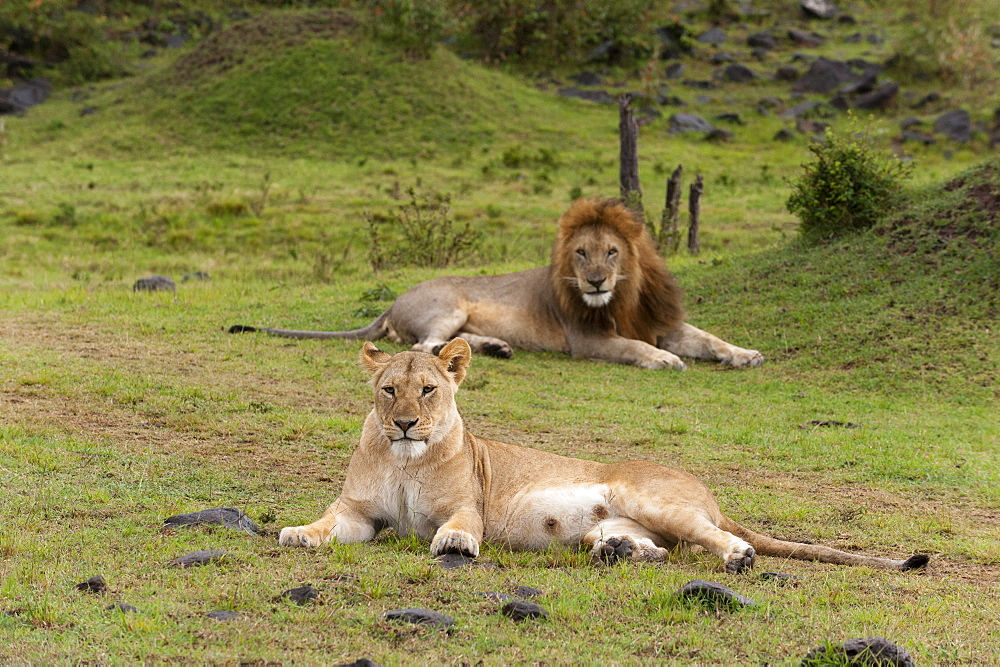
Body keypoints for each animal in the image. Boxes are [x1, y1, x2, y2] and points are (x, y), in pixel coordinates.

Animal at [232, 198, 764, 370]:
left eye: (612, 251)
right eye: (580, 252)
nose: (594, 282)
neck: (623, 295)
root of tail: (393, 302)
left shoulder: (661, 321)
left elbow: (708, 338)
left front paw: (745, 354)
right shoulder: (587, 339)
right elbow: (635, 348)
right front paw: (664, 360)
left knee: (450, 345)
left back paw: (498, 348)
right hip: (447, 305)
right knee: (425, 347)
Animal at [276, 340, 928, 576]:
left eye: (429, 390)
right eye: (390, 390)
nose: (407, 422)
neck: (405, 458)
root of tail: (709, 492)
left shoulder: (469, 504)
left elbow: (460, 525)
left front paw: (455, 544)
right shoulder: (359, 513)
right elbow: (329, 523)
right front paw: (298, 533)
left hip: (646, 496)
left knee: (712, 540)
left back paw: (736, 556)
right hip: (620, 522)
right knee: (662, 549)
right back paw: (618, 551)